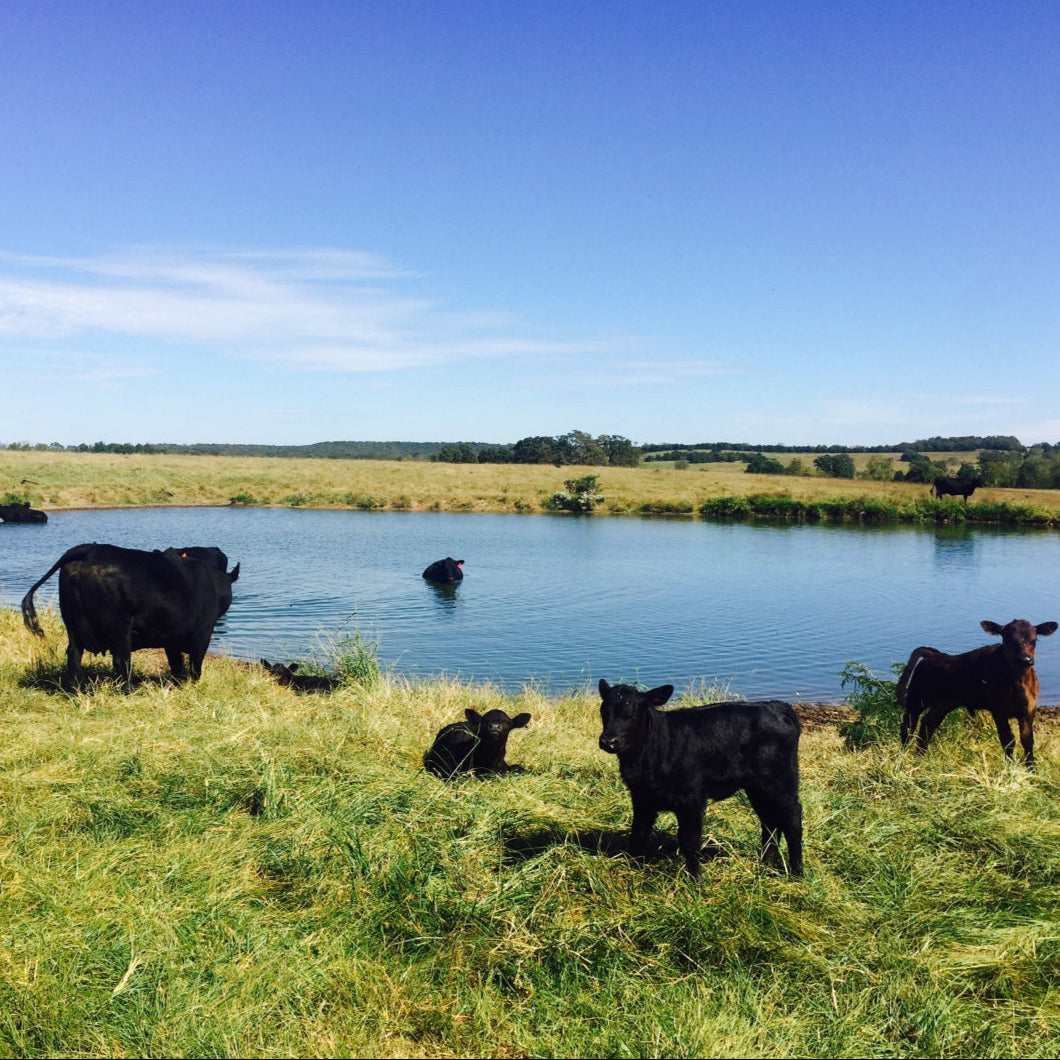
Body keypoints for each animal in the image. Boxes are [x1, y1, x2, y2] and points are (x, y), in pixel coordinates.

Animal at [22, 542, 240, 691]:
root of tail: (89, 550)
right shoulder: (202, 631)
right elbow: (195, 664)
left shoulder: (171, 637)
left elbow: (176, 663)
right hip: (118, 628)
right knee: (121, 660)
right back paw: (129, 689)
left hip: (73, 625)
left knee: (74, 657)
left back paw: (76, 690)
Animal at [597, 682, 801, 881]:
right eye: (604, 712)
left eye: (630, 714)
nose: (608, 742)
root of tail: (775, 706)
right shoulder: (642, 798)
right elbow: (638, 833)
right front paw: (632, 869)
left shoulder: (691, 799)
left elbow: (689, 840)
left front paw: (696, 880)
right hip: (757, 788)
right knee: (770, 821)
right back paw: (765, 863)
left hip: (781, 783)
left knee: (792, 820)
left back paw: (797, 873)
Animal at [898, 619, 1055, 767]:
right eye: (1007, 639)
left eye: (1034, 640)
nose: (1025, 659)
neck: (1018, 683)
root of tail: (935, 655)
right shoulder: (998, 710)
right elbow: (1008, 740)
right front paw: (1009, 767)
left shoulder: (1029, 709)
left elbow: (1028, 741)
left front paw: (1032, 769)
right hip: (916, 699)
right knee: (908, 726)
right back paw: (903, 757)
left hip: (943, 704)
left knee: (928, 724)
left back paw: (920, 756)